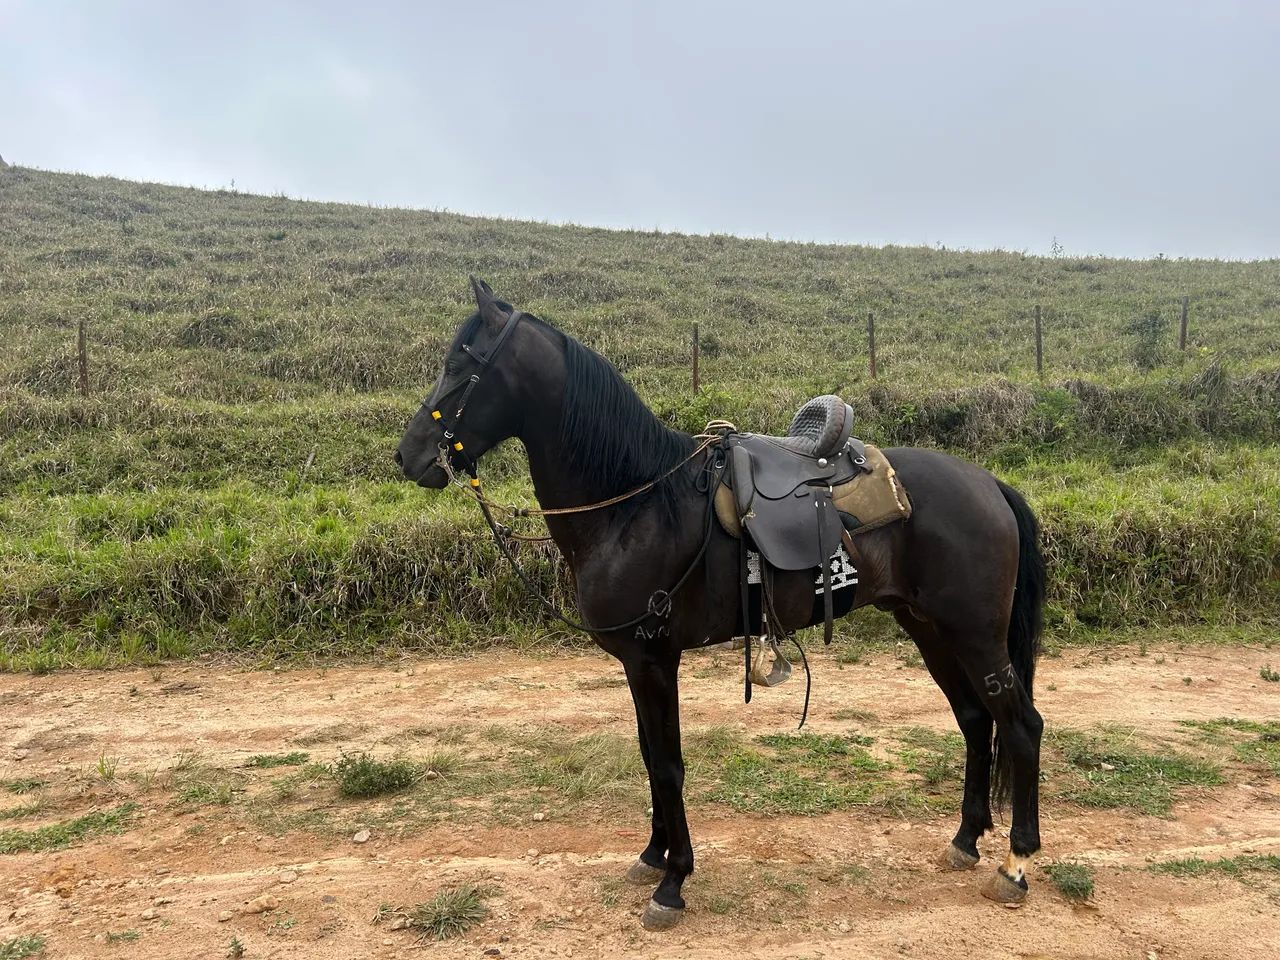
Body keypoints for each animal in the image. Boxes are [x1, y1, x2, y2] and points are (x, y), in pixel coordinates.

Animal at [396, 278, 1046, 931]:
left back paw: (1015, 864)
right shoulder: (637, 664)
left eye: (460, 366)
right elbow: (649, 755)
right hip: (929, 628)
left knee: (1020, 724)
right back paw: (965, 840)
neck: (637, 506)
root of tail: (988, 484)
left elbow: (668, 764)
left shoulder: (656, 660)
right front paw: (653, 856)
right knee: (974, 719)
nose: (408, 456)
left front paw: (673, 882)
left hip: (975, 634)